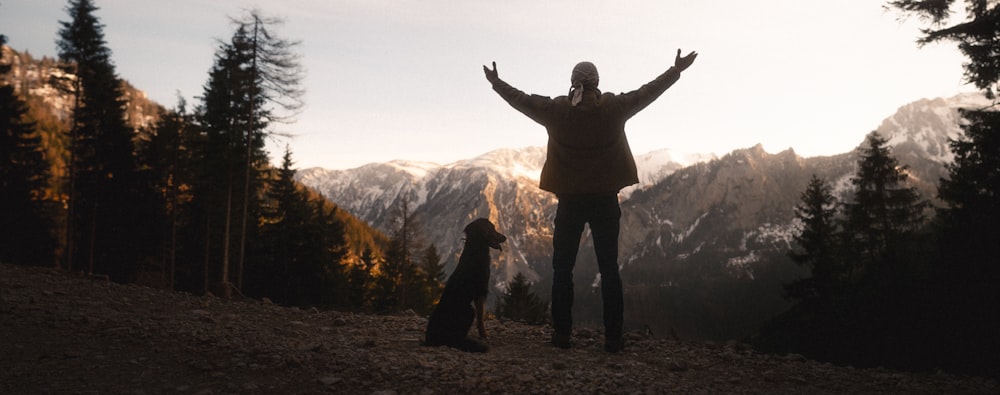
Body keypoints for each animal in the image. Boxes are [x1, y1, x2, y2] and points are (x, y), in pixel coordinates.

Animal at [426, 220, 508, 352]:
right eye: (492, 229)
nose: (505, 237)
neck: (476, 248)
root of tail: (429, 338)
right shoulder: (480, 292)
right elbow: (481, 318)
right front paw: (484, 335)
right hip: (469, 311)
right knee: (455, 339)